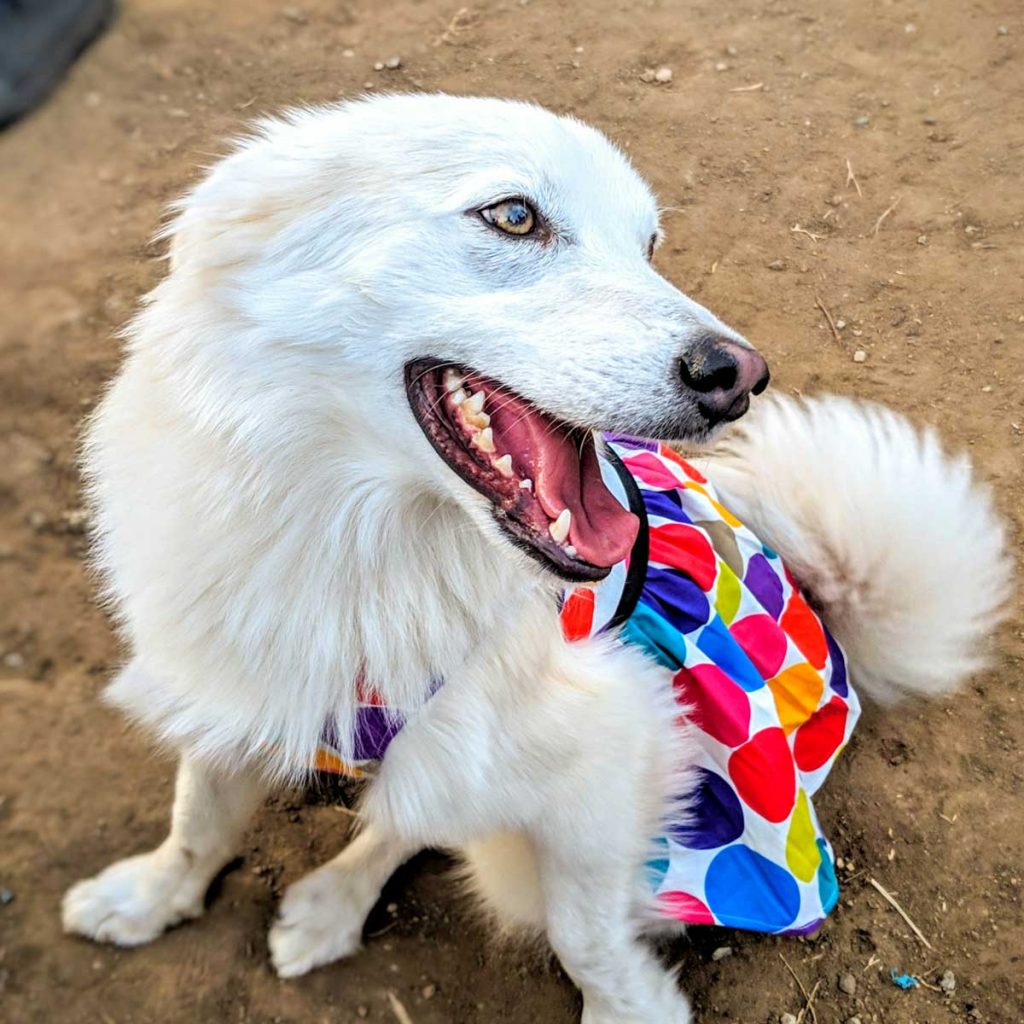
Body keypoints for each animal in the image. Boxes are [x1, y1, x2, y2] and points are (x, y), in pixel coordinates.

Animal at [59, 92, 1011, 1019]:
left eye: (649, 247)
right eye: (514, 215)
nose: (739, 377)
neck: (350, 543)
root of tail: (824, 601)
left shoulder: (607, 763)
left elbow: (583, 938)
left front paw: (630, 1012)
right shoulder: (222, 682)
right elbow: (198, 820)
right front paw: (146, 899)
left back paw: (329, 906)